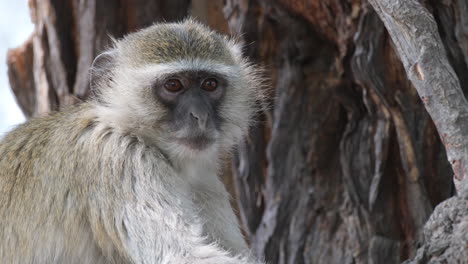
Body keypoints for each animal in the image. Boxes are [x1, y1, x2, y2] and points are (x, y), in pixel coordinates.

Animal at [0, 19, 264, 264]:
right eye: (173, 85)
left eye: (210, 84)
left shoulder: (206, 183)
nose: (200, 116)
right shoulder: (121, 156)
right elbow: (180, 255)